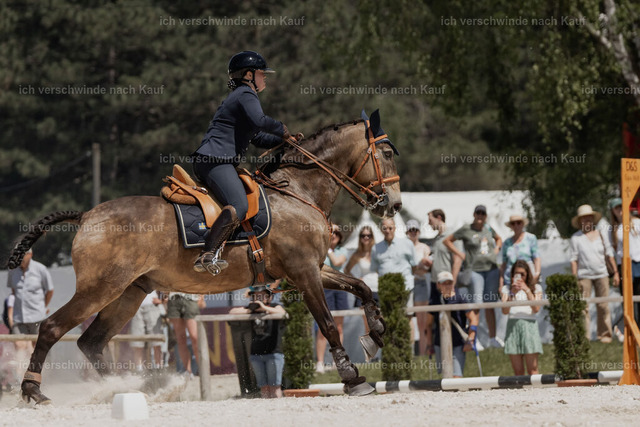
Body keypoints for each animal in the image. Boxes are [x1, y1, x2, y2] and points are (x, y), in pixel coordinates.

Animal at [8, 111, 402, 404]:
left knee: (91, 343)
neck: (298, 192)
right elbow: (329, 323)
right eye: (385, 154)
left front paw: (376, 333)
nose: (394, 205)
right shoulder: (304, 273)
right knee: (52, 328)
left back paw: (136, 388)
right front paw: (353, 378)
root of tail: (88, 216)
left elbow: (361, 286)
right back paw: (34, 389)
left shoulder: (311, 269)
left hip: (128, 294)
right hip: (101, 289)